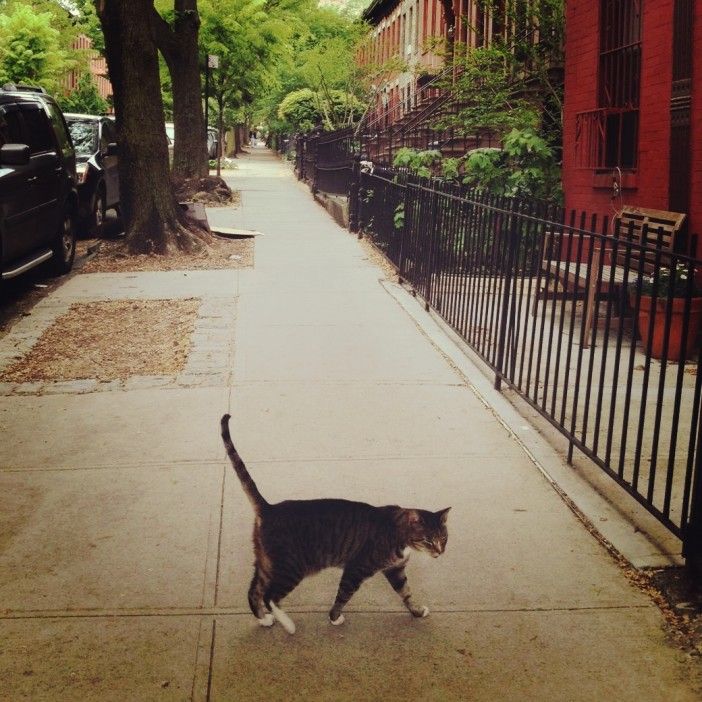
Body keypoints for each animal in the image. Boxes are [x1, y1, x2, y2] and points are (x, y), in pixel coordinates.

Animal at [220, 416, 452, 636]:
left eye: (443, 539)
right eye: (428, 540)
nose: (440, 552)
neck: (398, 532)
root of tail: (269, 508)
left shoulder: (396, 570)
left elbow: (406, 593)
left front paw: (417, 612)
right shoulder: (356, 568)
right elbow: (343, 595)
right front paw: (334, 618)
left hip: (267, 562)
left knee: (254, 591)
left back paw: (264, 620)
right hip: (292, 567)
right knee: (270, 596)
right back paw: (288, 625)